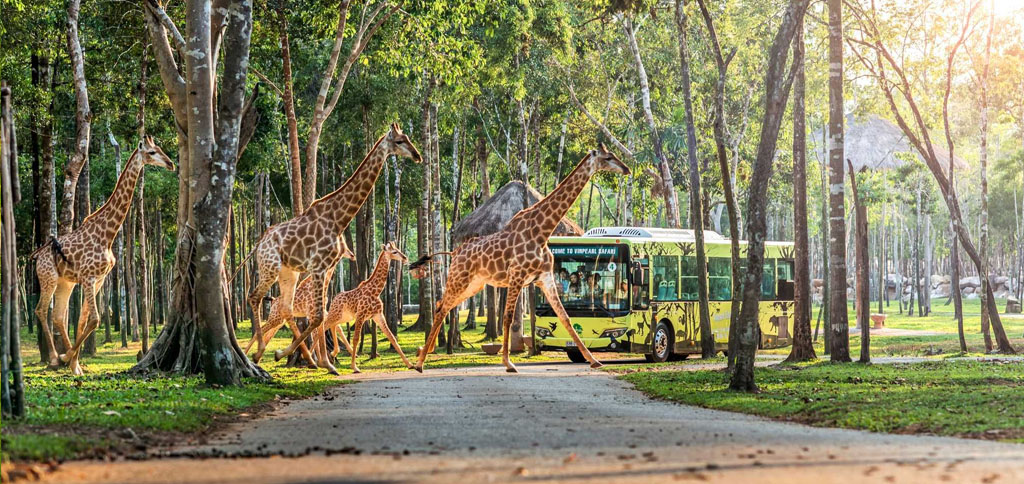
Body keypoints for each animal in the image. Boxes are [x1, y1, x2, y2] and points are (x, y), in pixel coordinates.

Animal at [32, 136, 175, 374]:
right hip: (48, 277)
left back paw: (66, 359)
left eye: (161, 149)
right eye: (152, 152)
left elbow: (84, 320)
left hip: (65, 282)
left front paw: (74, 363)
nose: (171, 164)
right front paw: (67, 358)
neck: (108, 235)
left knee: (59, 316)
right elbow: (95, 319)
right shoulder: (88, 278)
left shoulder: (98, 279)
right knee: (41, 310)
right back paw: (53, 357)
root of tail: (37, 255)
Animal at [276, 241, 415, 374]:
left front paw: (410, 364)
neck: (376, 291)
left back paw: (329, 354)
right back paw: (313, 358)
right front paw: (354, 367)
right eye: (394, 252)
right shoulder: (361, 315)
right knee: (322, 328)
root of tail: (334, 299)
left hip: (344, 317)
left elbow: (392, 338)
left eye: (398, 250)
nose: (405, 258)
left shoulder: (378, 315)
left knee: (331, 326)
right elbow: (356, 339)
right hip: (336, 314)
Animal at [411, 145, 626, 372]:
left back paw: (424, 355)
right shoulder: (517, 275)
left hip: (474, 284)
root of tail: (454, 253)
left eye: (614, 155)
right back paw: (420, 362)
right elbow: (507, 317)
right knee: (442, 307)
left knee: (441, 305)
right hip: (459, 278)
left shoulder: (544, 278)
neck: (542, 232)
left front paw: (594, 360)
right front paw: (508, 362)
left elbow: (565, 317)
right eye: (608, 157)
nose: (627, 169)